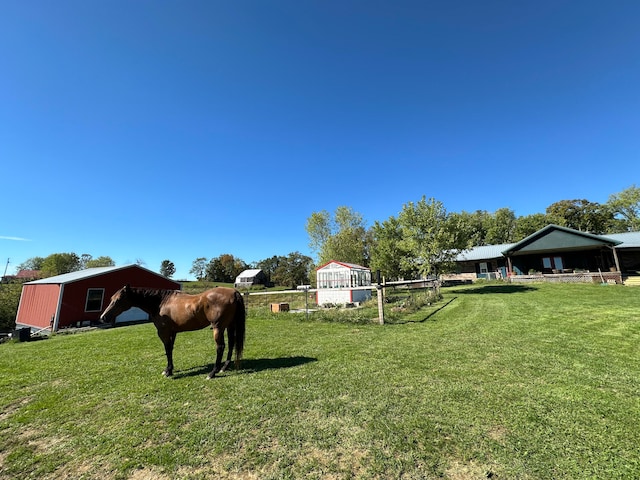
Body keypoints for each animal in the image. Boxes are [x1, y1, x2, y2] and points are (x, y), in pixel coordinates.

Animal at [99, 284, 245, 378]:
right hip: (229, 325)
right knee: (231, 344)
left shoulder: (163, 332)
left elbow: (167, 350)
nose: (103, 317)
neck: (161, 303)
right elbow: (171, 349)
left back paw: (212, 373)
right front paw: (170, 369)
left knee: (220, 347)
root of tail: (234, 292)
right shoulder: (173, 332)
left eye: (118, 300)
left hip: (218, 328)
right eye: (111, 299)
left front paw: (168, 372)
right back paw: (224, 368)